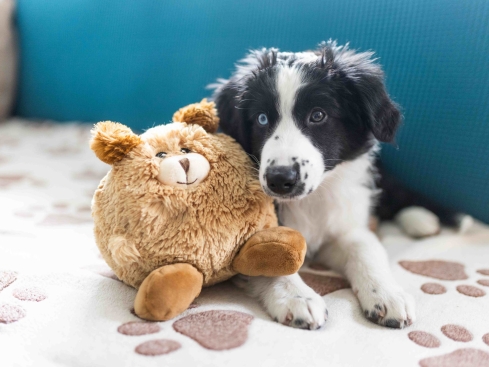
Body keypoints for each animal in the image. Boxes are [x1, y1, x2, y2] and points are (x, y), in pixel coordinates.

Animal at [212, 41, 414, 332]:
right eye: (261, 119)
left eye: (318, 115)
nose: (279, 179)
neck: (311, 201)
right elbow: (270, 259)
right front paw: (298, 297)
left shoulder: (342, 228)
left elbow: (366, 247)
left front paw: (388, 294)